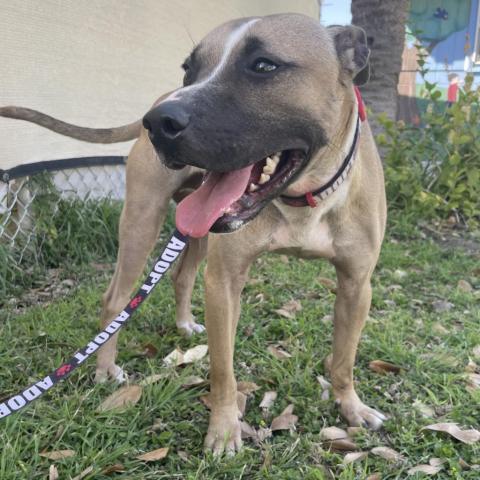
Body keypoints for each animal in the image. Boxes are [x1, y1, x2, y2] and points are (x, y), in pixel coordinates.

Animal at [0, 12, 386, 454]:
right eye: (189, 69)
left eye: (264, 65)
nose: (159, 123)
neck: (304, 200)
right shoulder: (224, 282)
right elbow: (223, 369)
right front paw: (224, 430)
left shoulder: (357, 285)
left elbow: (344, 358)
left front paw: (350, 406)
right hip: (142, 221)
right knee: (116, 298)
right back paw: (106, 368)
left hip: (196, 231)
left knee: (182, 275)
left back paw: (184, 325)